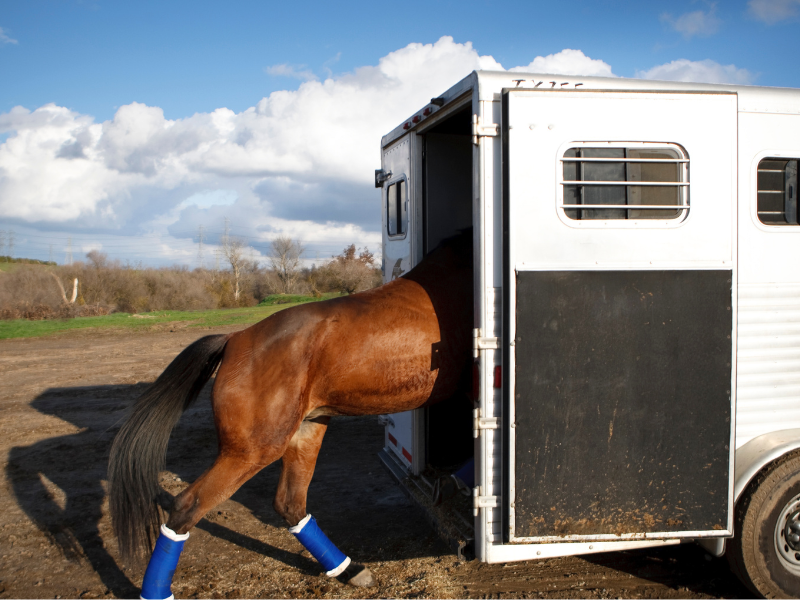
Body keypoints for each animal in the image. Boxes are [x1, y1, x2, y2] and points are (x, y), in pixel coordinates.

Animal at [107, 230, 473, 598]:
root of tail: (235, 339)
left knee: (289, 504)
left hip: (306, 431)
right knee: (186, 507)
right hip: (253, 451)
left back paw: (349, 569)